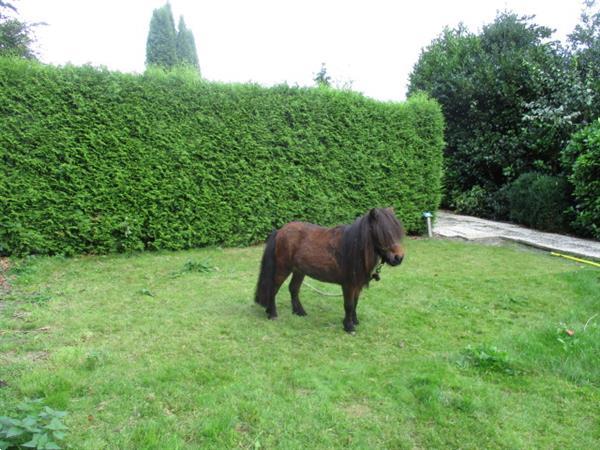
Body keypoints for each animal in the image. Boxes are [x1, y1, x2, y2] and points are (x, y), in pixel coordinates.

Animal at [255, 207, 406, 330]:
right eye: (383, 233)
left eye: (397, 232)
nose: (398, 258)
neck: (353, 247)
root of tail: (280, 231)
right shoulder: (348, 285)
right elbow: (348, 305)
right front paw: (349, 326)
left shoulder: (357, 285)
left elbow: (355, 303)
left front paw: (354, 321)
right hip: (283, 268)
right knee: (274, 288)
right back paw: (272, 314)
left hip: (299, 271)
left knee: (293, 289)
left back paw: (299, 312)